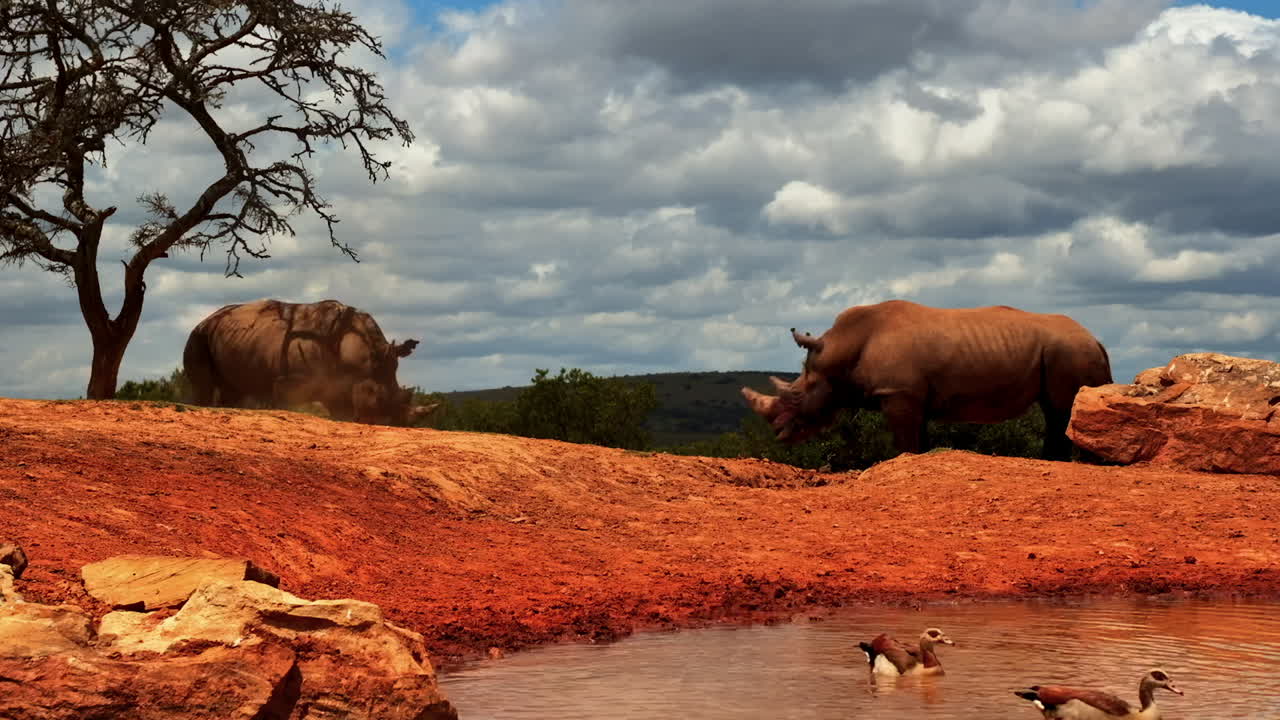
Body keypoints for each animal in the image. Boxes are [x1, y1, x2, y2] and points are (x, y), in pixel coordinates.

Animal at [182, 298, 440, 426]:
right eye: (379, 401)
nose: (397, 424)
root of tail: (207, 319)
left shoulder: (339, 387)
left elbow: (343, 416)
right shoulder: (289, 383)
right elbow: (288, 405)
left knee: (233, 390)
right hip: (198, 336)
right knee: (203, 386)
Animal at [741, 300, 1113, 461]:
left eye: (797, 396)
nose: (779, 433)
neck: (841, 349)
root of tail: (1096, 339)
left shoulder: (898, 394)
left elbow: (906, 443)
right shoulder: (911, 397)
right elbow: (918, 439)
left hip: (1069, 351)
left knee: (1061, 410)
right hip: (1066, 350)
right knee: (1055, 411)